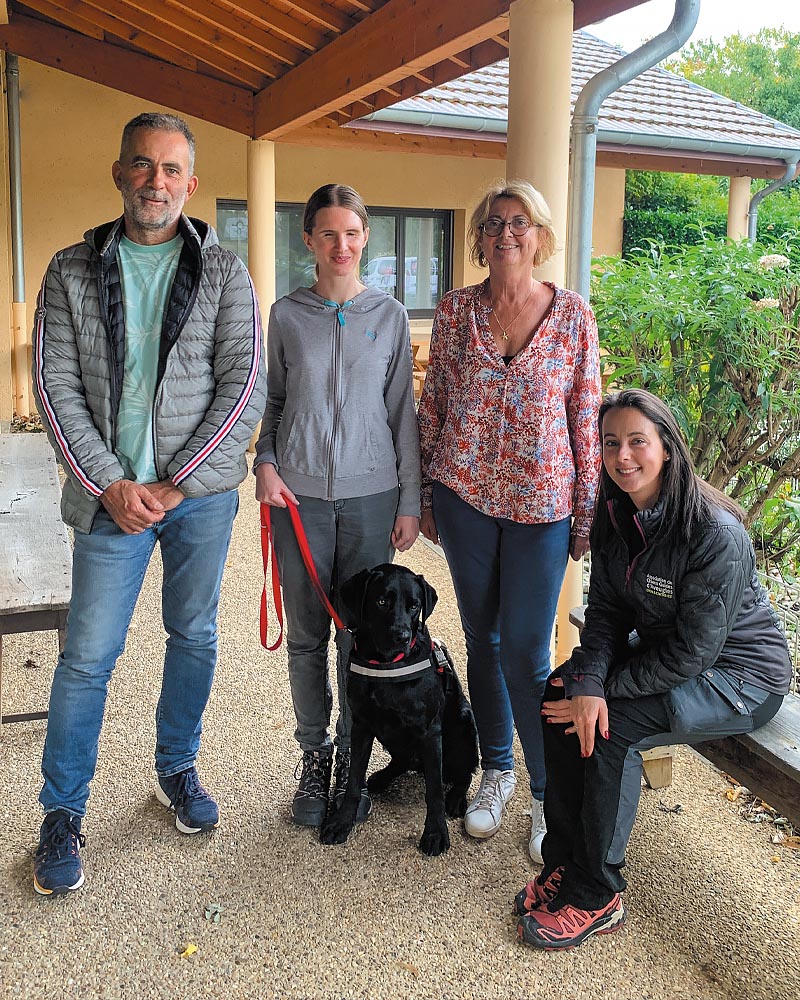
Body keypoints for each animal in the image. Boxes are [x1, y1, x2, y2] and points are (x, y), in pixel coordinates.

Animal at [318, 568, 478, 856]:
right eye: (382, 601)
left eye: (414, 605)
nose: (401, 636)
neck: (386, 665)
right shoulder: (361, 725)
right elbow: (353, 781)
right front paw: (342, 822)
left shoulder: (430, 732)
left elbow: (434, 791)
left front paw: (435, 832)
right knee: (402, 761)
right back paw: (382, 778)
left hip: (464, 723)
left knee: (465, 772)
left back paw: (457, 798)